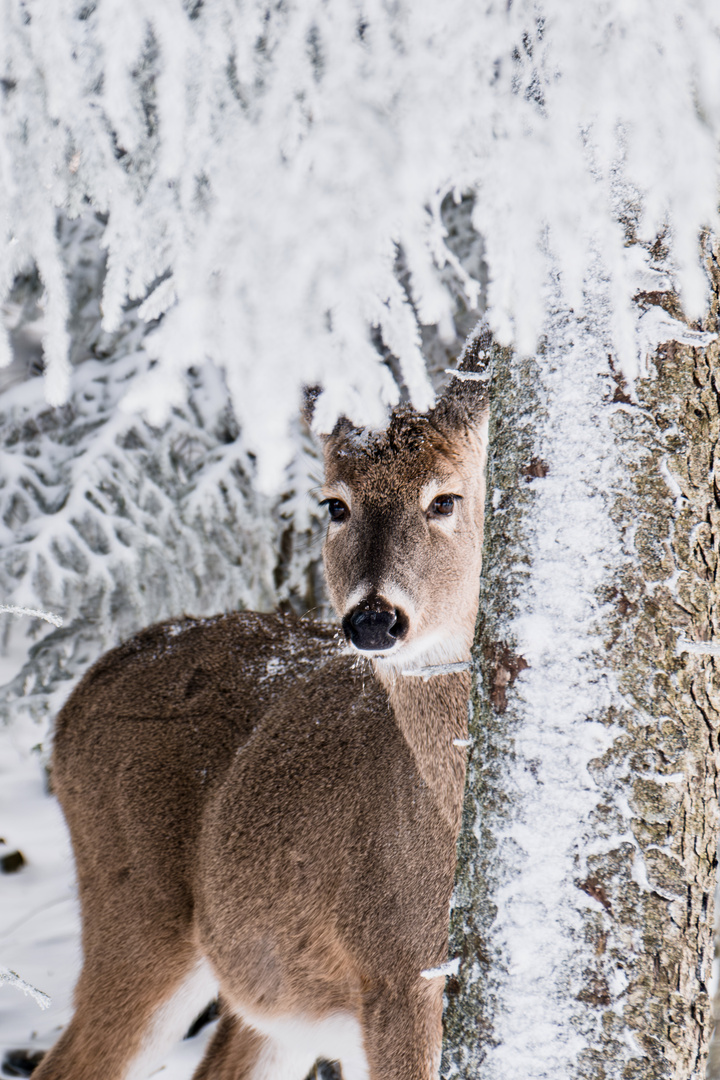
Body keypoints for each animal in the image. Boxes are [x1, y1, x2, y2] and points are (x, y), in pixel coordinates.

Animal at [31, 347, 487, 1080]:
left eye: (446, 498)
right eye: (334, 504)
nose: (373, 619)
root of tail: (79, 696)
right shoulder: (398, 973)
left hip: (273, 995)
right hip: (135, 913)